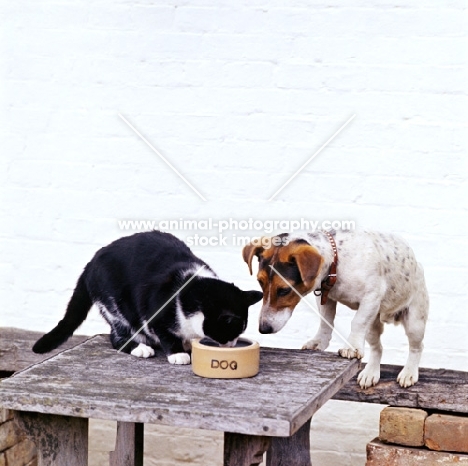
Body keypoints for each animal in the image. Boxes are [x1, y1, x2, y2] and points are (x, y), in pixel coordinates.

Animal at [32, 232, 264, 364]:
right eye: (231, 332)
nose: (232, 346)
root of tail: (90, 264)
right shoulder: (154, 311)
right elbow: (166, 334)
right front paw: (178, 353)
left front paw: (188, 344)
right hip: (114, 304)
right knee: (117, 336)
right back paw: (140, 348)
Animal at [243, 230, 430, 390]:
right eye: (260, 282)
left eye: (284, 290)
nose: (263, 329)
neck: (337, 261)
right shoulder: (326, 297)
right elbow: (326, 321)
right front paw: (319, 341)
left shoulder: (371, 297)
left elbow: (357, 322)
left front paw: (351, 347)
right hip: (372, 325)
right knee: (378, 348)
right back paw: (370, 373)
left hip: (414, 322)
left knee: (417, 347)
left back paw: (409, 373)